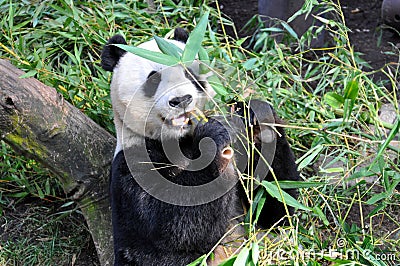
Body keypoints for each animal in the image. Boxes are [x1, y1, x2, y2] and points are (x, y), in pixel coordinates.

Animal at [101, 28, 298, 264]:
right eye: (154, 79)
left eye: (189, 74)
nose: (182, 100)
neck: (180, 140)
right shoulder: (133, 164)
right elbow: (175, 232)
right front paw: (212, 140)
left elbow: (275, 210)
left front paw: (254, 114)